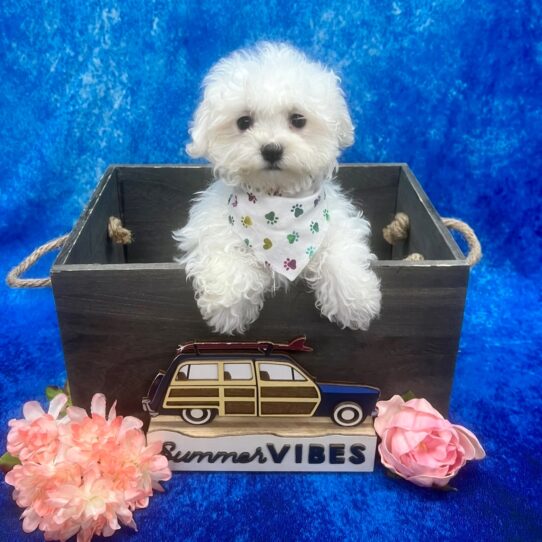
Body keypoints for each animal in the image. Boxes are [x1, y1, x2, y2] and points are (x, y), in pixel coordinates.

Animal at [175, 42, 382, 334]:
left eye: (298, 119)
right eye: (243, 122)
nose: (271, 149)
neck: (277, 203)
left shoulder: (336, 224)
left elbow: (341, 253)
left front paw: (356, 301)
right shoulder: (209, 226)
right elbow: (223, 251)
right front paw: (229, 306)